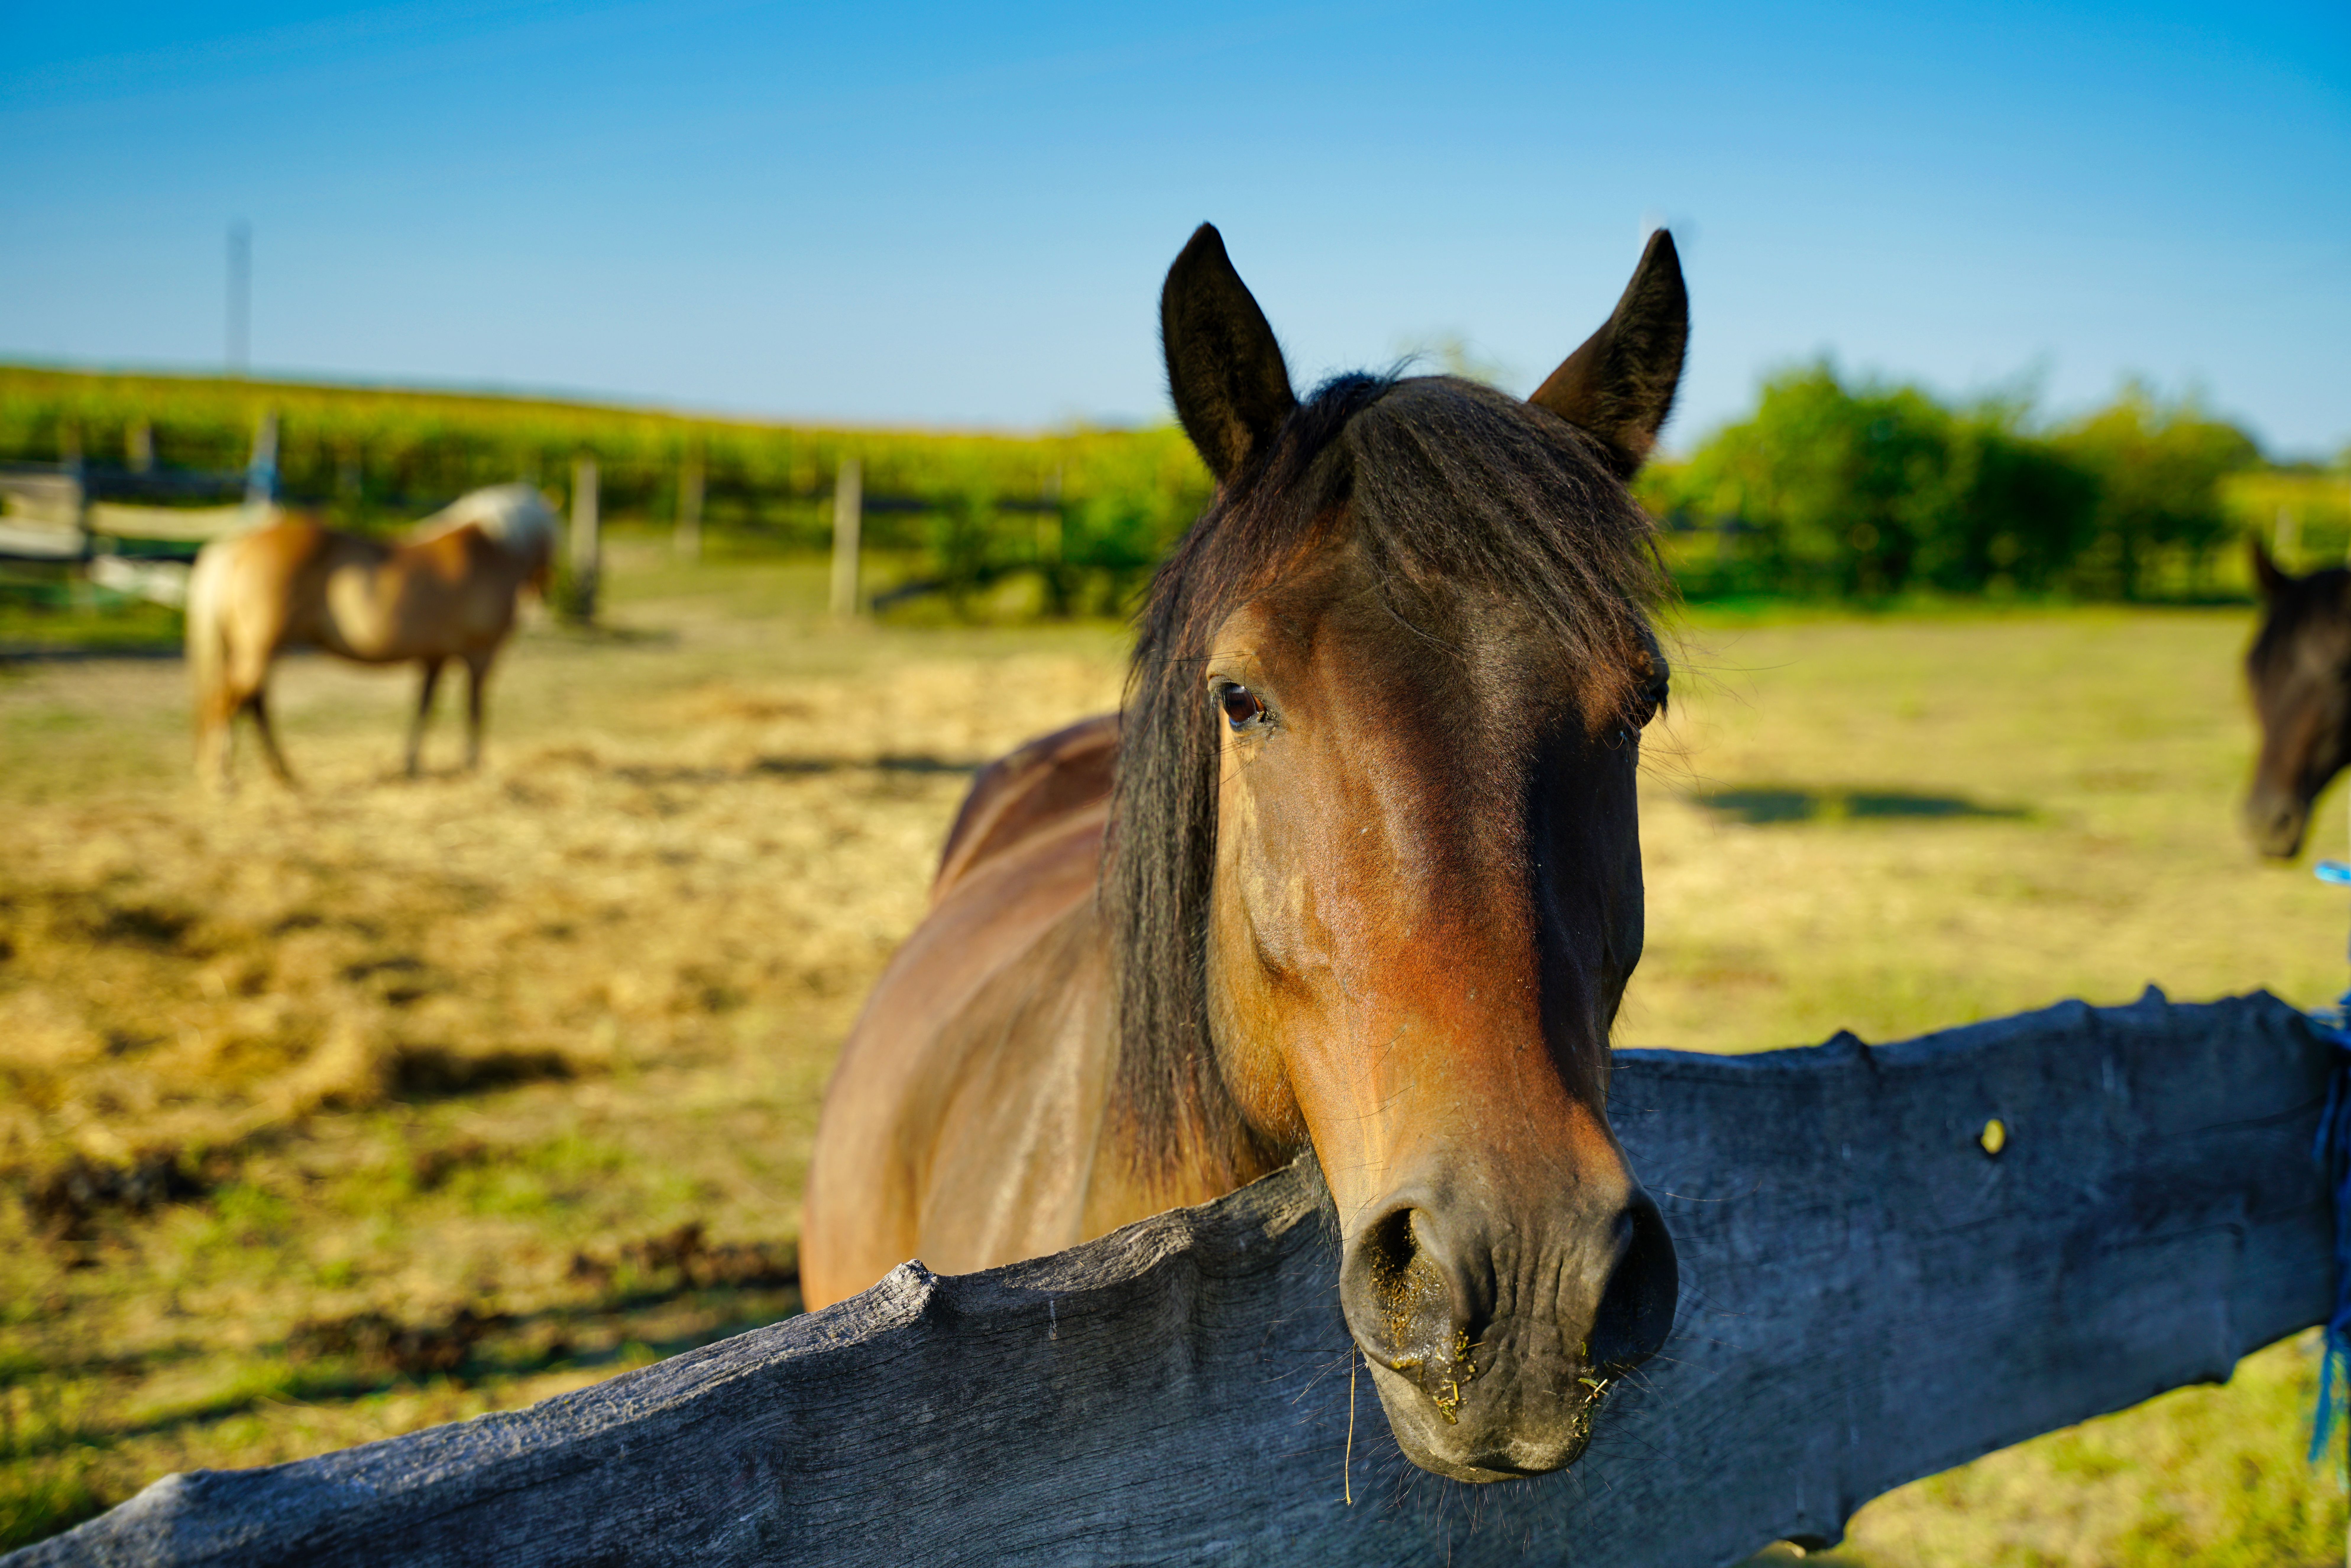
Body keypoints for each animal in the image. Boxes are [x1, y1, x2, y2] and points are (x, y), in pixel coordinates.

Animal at [185, 483, 557, 789]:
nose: (543, 591)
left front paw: (411, 766)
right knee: (229, 702)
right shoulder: (481, 655)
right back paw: (224, 779)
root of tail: (238, 545)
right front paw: (474, 764)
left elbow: (425, 708)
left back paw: (284, 775)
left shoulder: (434, 658)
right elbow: (475, 709)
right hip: (260, 650)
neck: (490, 550)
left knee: (251, 703)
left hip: (256, 652)